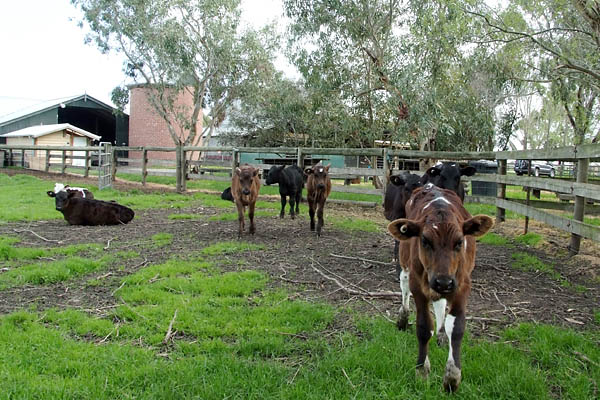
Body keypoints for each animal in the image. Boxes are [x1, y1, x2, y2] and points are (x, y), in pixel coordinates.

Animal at [390, 185, 492, 394]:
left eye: (459, 242)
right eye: (425, 241)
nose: (443, 282)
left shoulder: (461, 284)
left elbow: (458, 327)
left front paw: (452, 377)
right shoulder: (418, 285)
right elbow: (423, 326)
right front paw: (422, 371)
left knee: (441, 303)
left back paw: (442, 333)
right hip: (404, 257)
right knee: (403, 282)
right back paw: (403, 317)